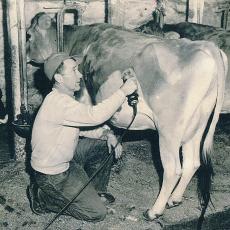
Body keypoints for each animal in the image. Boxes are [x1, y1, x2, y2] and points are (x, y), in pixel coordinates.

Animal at [26, 12, 227, 223]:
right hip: (196, 125)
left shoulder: (82, 95)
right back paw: (175, 199)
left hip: (169, 130)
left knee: (173, 169)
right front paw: (113, 143)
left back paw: (154, 211)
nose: (27, 56)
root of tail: (206, 47)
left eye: (28, 35)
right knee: (193, 161)